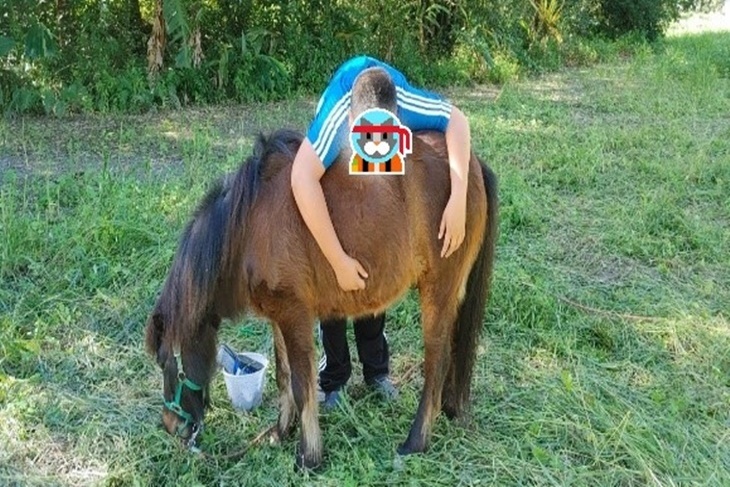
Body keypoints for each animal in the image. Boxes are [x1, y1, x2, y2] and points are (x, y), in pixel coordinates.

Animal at [144, 127, 498, 469]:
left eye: (165, 363)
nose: (170, 425)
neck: (249, 227)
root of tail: (472, 164)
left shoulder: (295, 315)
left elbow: (303, 387)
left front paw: (309, 456)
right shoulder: (279, 317)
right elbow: (284, 377)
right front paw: (280, 432)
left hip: (437, 290)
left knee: (437, 361)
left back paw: (415, 442)